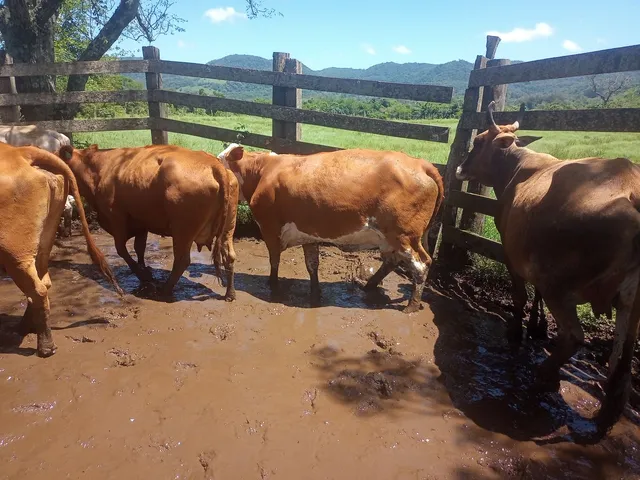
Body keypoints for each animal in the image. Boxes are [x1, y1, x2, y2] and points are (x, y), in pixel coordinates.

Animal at [0, 143, 122, 357]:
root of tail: (21, 151)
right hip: (42, 243)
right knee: (43, 282)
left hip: (15, 252)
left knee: (38, 289)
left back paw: (44, 346)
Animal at [57, 144, 237, 300]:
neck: (99, 168)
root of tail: (215, 165)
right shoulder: (141, 223)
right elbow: (139, 248)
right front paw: (146, 271)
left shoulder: (116, 218)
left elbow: (122, 250)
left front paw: (143, 276)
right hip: (228, 228)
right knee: (229, 256)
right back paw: (230, 293)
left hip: (182, 230)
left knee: (182, 260)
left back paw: (164, 291)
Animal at [217, 144, 444, 313]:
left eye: (219, 161)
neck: (262, 171)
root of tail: (420, 163)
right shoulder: (308, 235)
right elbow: (312, 265)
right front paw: (315, 291)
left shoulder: (270, 229)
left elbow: (274, 261)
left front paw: (273, 285)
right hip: (391, 238)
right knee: (392, 261)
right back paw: (369, 285)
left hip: (404, 236)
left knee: (421, 264)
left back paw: (411, 306)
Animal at [455, 100, 640, 437]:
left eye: (479, 142)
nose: (461, 168)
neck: (519, 169)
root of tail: (632, 190)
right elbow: (535, 295)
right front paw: (536, 327)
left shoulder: (511, 251)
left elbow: (520, 295)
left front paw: (517, 330)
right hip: (633, 304)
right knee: (622, 357)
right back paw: (609, 409)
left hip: (561, 286)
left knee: (575, 336)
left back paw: (545, 373)